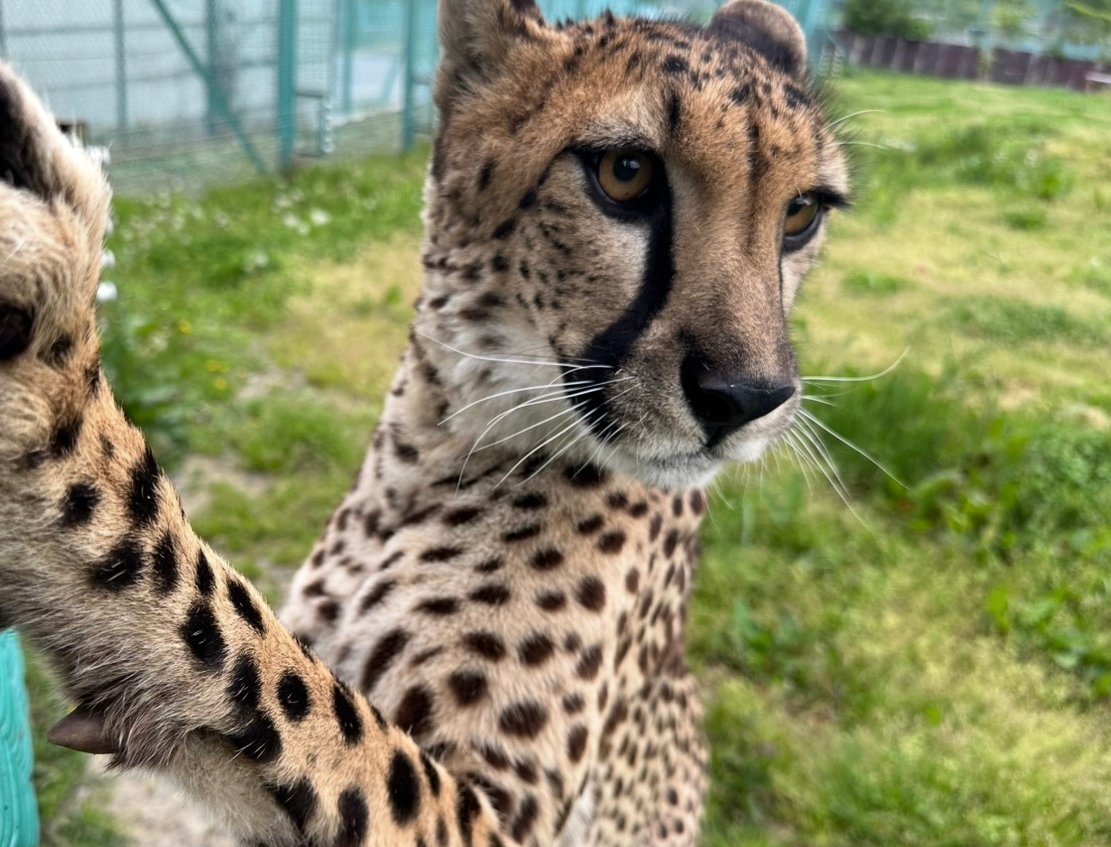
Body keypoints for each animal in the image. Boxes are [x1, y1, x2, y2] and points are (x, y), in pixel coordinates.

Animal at [0, 0, 849, 844]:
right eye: (625, 172)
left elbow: (298, 692)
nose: (748, 396)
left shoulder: (498, 813)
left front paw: (50, 401)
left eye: (801, 213)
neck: (431, 446)